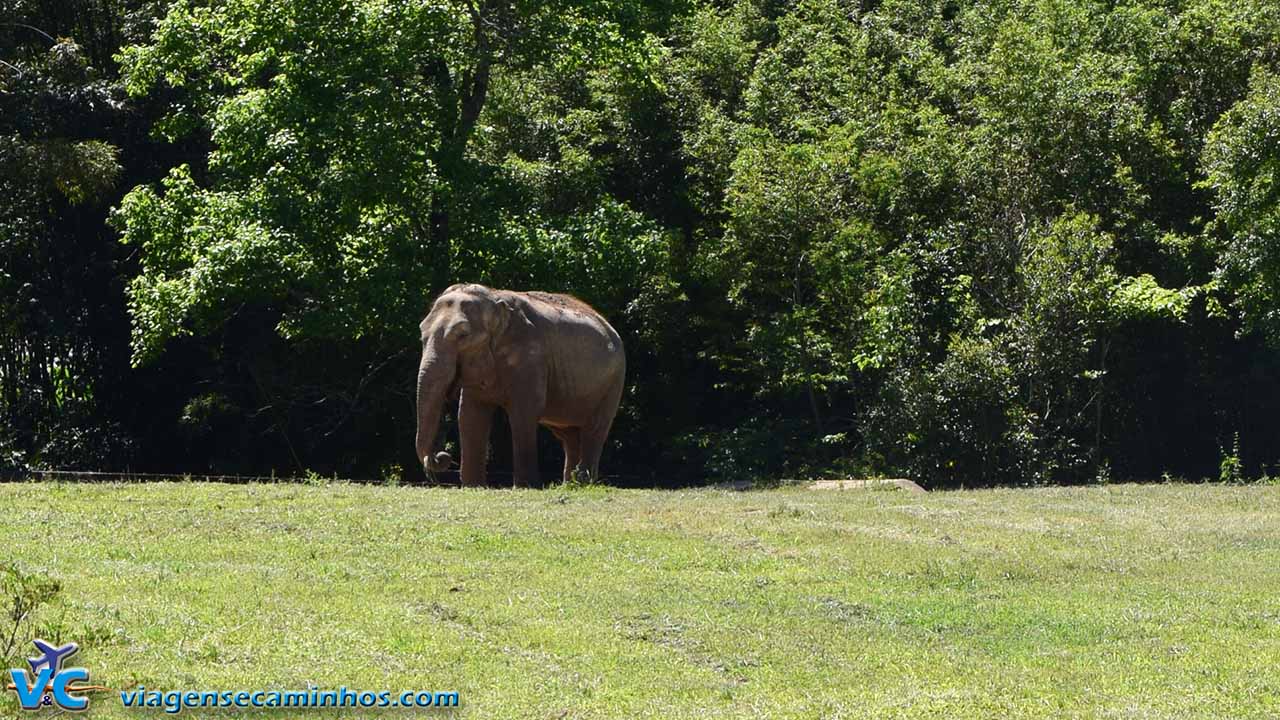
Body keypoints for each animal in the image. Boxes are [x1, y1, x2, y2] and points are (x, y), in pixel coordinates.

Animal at [412, 283, 627, 484]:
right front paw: (473, 487)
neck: (494, 298)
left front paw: (526, 486)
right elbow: (469, 415)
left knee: (595, 429)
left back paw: (582, 481)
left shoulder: (530, 356)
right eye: (421, 333)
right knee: (569, 435)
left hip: (614, 380)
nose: (442, 456)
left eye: (462, 335)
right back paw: (570, 483)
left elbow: (524, 411)